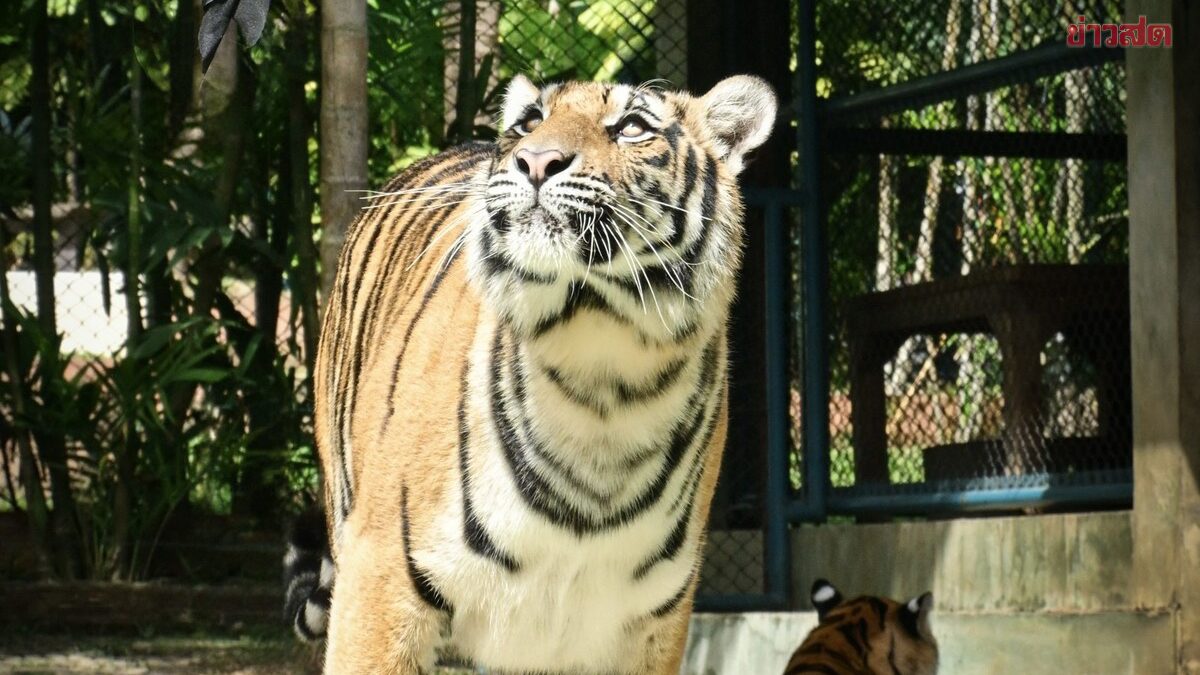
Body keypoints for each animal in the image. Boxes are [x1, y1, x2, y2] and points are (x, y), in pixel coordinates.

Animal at [282, 73, 778, 674]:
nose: (536, 160)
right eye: (529, 123)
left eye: (632, 127)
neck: (601, 376)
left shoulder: (650, 625)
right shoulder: (383, 574)